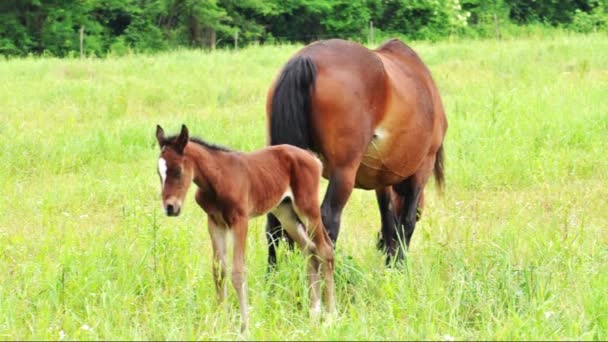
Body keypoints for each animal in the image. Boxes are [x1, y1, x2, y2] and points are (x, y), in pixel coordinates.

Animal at [154, 125, 334, 332]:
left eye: (178, 170)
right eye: (159, 173)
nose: (170, 208)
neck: (217, 179)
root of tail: (312, 157)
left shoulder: (240, 221)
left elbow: (238, 272)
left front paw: (244, 326)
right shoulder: (215, 222)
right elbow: (219, 271)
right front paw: (221, 322)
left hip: (307, 209)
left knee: (325, 249)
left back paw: (331, 315)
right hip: (285, 211)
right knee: (310, 250)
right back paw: (314, 314)